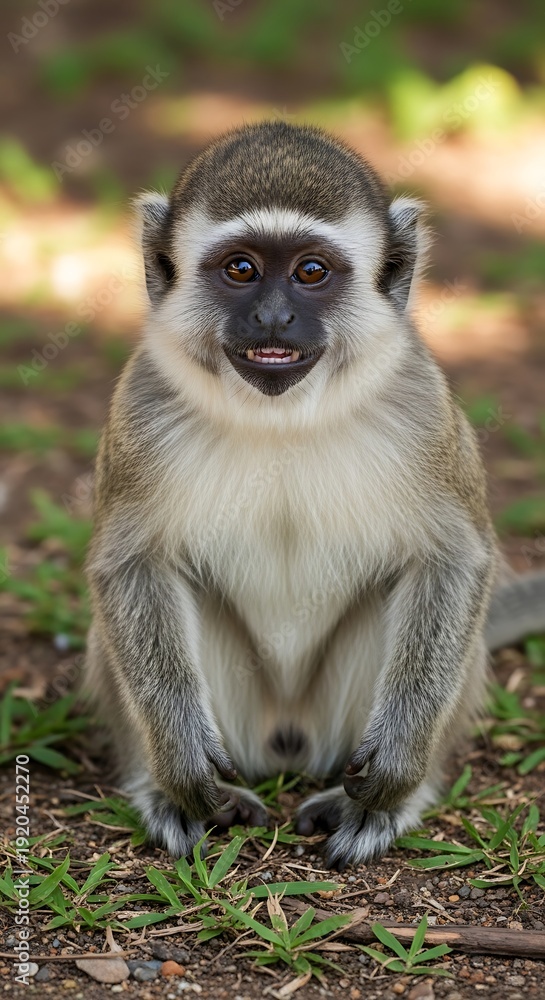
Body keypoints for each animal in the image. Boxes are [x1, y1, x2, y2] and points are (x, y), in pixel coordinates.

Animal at [85, 121, 545, 869]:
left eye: (310, 272)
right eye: (241, 268)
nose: (273, 317)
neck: (284, 414)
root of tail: (288, 743)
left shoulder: (421, 405)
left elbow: (454, 559)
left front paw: (394, 773)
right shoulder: (140, 406)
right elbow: (130, 564)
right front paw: (181, 770)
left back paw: (379, 805)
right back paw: (169, 788)